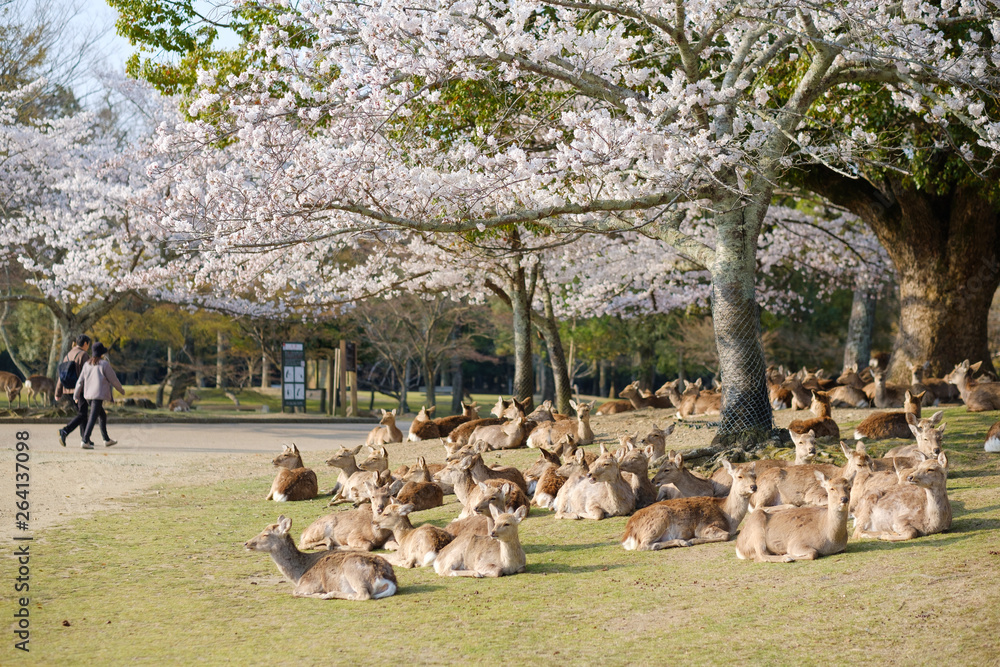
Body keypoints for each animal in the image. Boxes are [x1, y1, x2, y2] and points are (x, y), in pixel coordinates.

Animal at [245, 516, 397, 600]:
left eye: (266, 534)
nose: (246, 543)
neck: (298, 574)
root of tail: (389, 579)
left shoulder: (310, 582)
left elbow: (295, 592)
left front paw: (319, 594)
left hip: (353, 570)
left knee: (364, 595)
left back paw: (329, 594)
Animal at [620, 460, 756, 551]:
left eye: (754, 475)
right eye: (739, 476)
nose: (754, 486)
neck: (729, 517)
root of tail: (628, 533)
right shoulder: (705, 526)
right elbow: (726, 535)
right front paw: (693, 540)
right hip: (658, 521)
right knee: (644, 546)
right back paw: (684, 542)